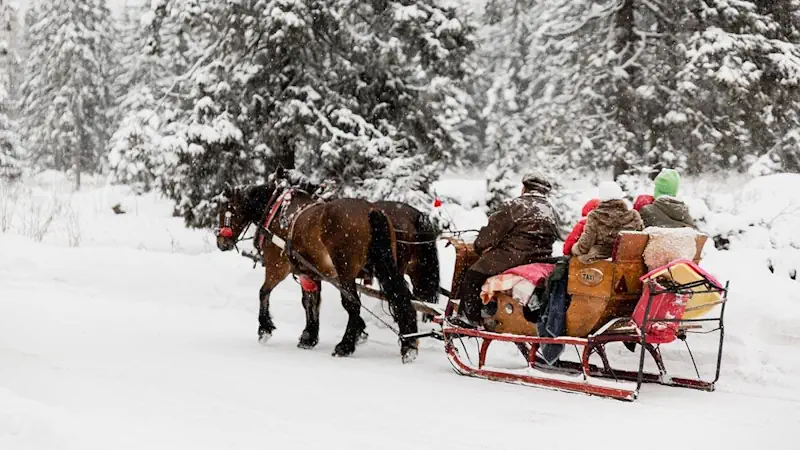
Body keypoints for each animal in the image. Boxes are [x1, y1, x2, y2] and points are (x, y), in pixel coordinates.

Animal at [215, 173, 421, 362]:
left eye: (225, 210)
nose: (221, 242)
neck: (276, 212)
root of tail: (372, 210)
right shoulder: (310, 273)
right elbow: (310, 302)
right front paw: (310, 336)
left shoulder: (277, 266)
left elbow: (264, 292)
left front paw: (265, 328)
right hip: (387, 267)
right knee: (400, 297)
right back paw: (409, 344)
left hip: (346, 272)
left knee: (353, 304)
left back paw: (345, 346)